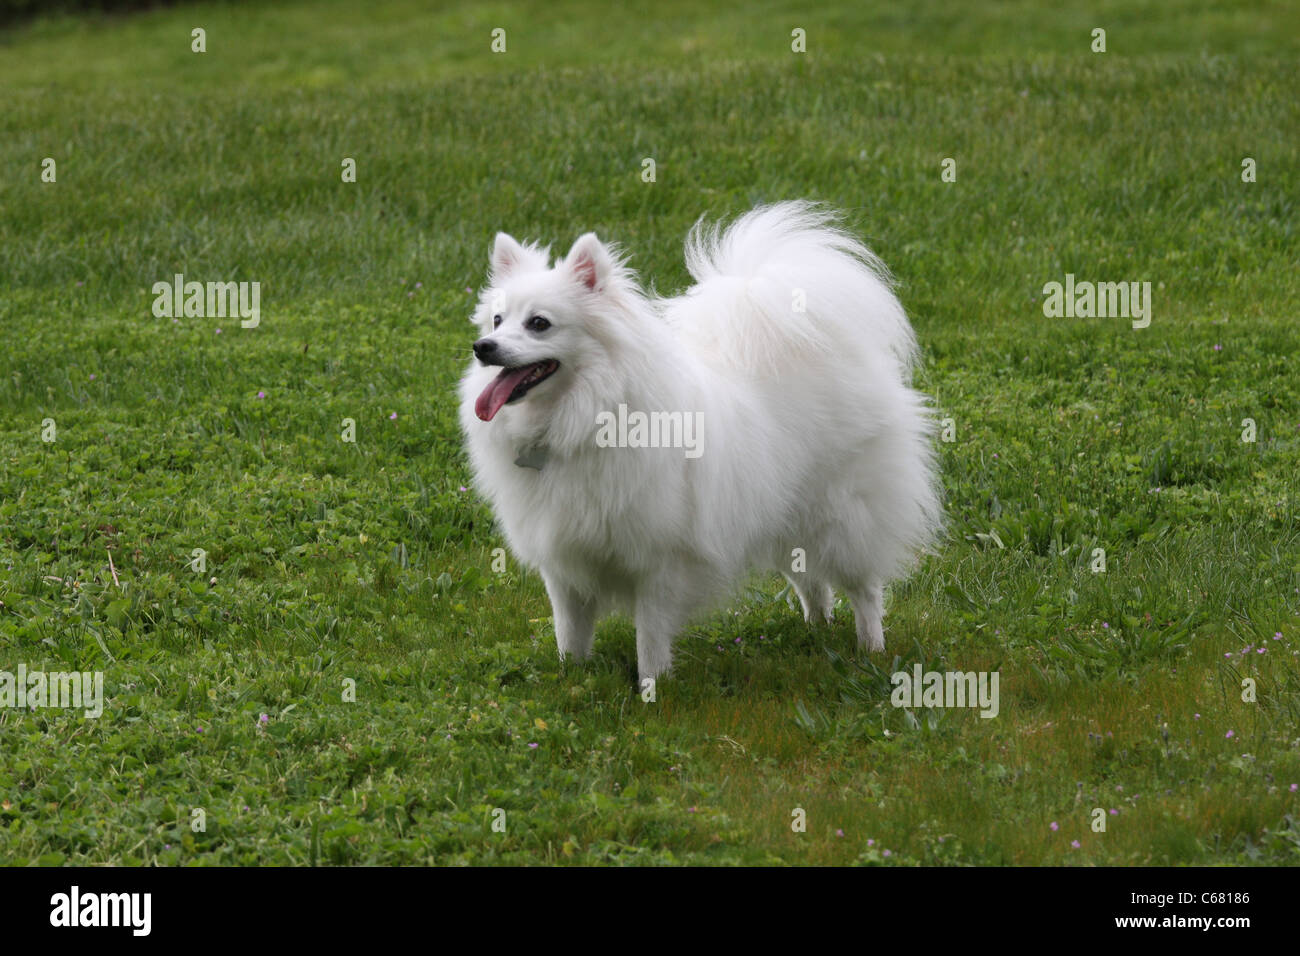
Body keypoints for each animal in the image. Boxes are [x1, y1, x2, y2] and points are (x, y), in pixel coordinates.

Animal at [462, 201, 941, 686]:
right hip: (783, 513)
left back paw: (871, 649)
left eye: (539, 324)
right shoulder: (563, 563)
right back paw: (816, 629)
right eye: (497, 320)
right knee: (811, 581)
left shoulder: (657, 563)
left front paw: (652, 688)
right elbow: (570, 633)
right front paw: (571, 678)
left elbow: (650, 637)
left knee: (865, 589)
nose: (483, 346)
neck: (581, 418)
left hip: (843, 518)